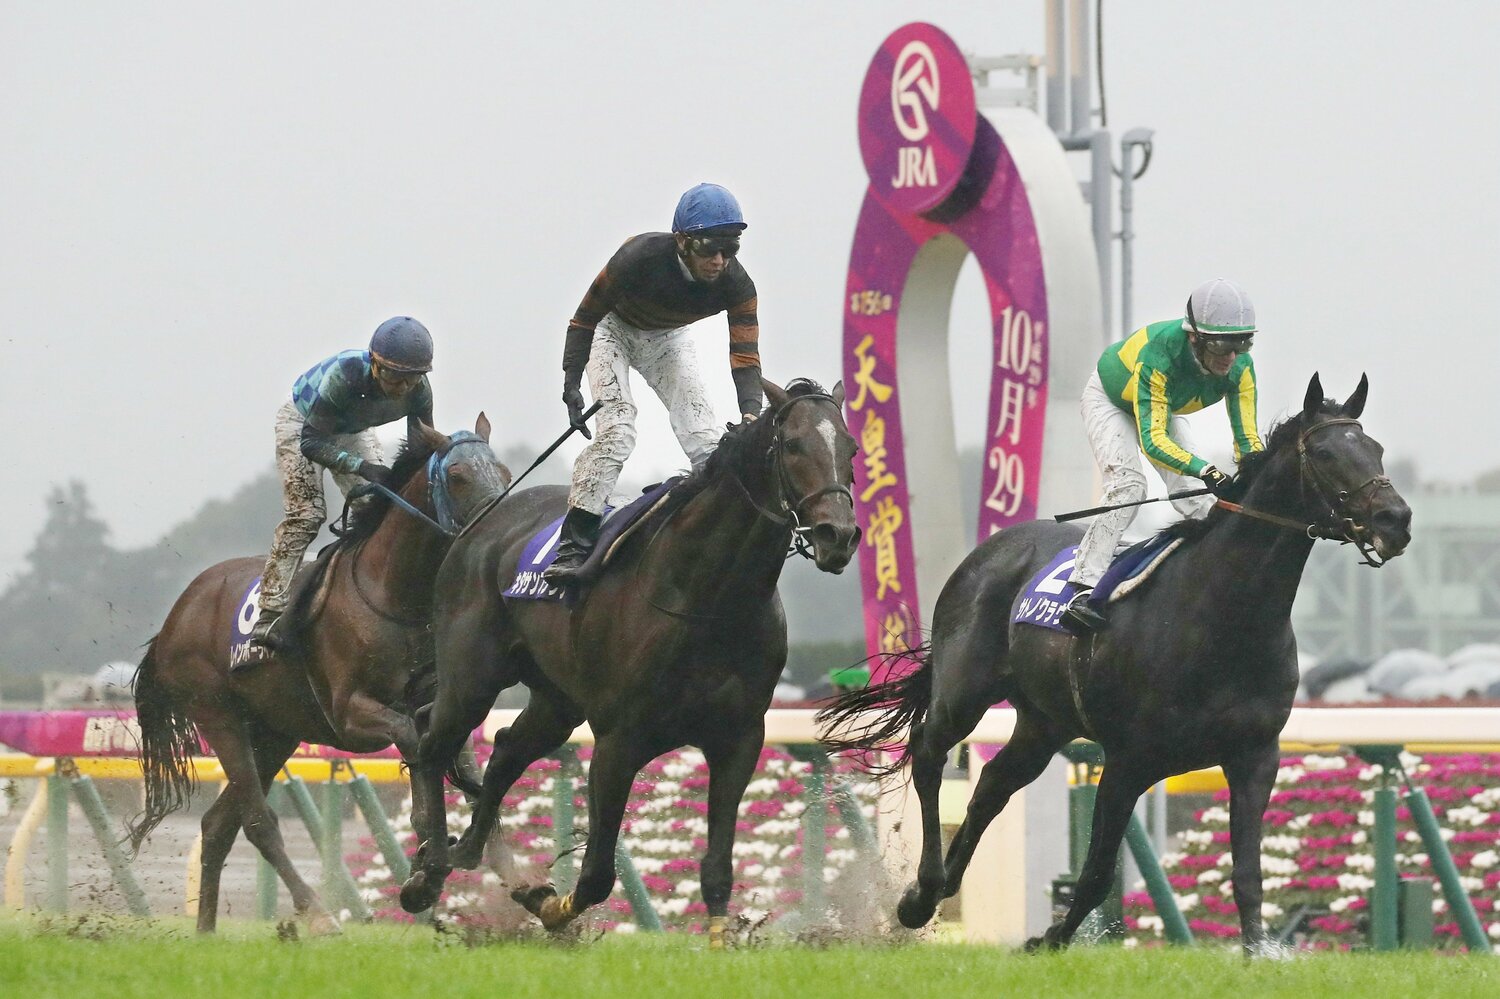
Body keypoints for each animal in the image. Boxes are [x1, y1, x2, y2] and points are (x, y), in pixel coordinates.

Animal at [128, 415, 510, 934]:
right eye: (457, 476)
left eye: (503, 471)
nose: (499, 526)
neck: (395, 597)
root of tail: (176, 616)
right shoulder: (350, 713)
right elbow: (416, 748)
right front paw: (426, 871)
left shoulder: (439, 703)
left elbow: (467, 771)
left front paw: (524, 885)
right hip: (218, 715)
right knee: (257, 821)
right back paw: (317, 912)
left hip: (274, 731)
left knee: (218, 825)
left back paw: (206, 931)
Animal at [397, 378, 862, 946]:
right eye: (793, 445)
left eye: (850, 449)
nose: (838, 535)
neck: (707, 596)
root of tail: (480, 524)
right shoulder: (619, 741)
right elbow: (597, 875)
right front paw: (556, 909)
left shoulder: (739, 739)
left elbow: (718, 870)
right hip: (473, 677)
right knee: (431, 740)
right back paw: (429, 868)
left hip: (556, 701)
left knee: (504, 749)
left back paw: (474, 854)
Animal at [818, 373, 1412, 954]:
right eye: (1328, 453)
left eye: (1377, 450)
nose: (1396, 519)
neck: (1223, 617)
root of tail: (990, 548)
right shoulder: (1128, 760)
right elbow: (1099, 872)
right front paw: (1049, 938)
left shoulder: (1255, 756)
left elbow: (1247, 873)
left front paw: (1258, 952)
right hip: (964, 691)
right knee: (929, 752)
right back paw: (920, 894)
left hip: (1045, 720)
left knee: (992, 784)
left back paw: (941, 885)